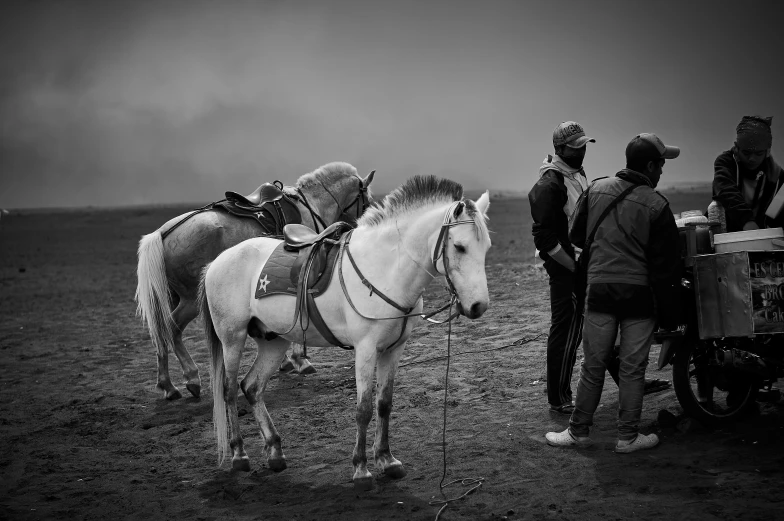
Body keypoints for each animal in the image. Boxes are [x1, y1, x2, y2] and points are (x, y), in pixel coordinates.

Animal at [136, 162, 374, 398]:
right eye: (367, 199)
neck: (311, 205)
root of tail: (163, 233)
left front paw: (287, 361)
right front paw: (300, 360)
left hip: (173, 297)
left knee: (159, 332)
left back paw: (167, 385)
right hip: (190, 300)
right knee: (171, 329)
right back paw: (191, 377)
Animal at [198, 177, 490, 490]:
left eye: (486, 247)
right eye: (459, 247)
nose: (478, 306)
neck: (384, 268)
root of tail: (217, 261)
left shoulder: (393, 350)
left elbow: (384, 404)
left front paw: (387, 460)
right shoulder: (366, 349)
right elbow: (363, 409)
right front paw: (361, 469)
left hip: (274, 342)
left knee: (252, 387)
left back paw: (275, 452)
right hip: (232, 338)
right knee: (229, 390)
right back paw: (239, 454)